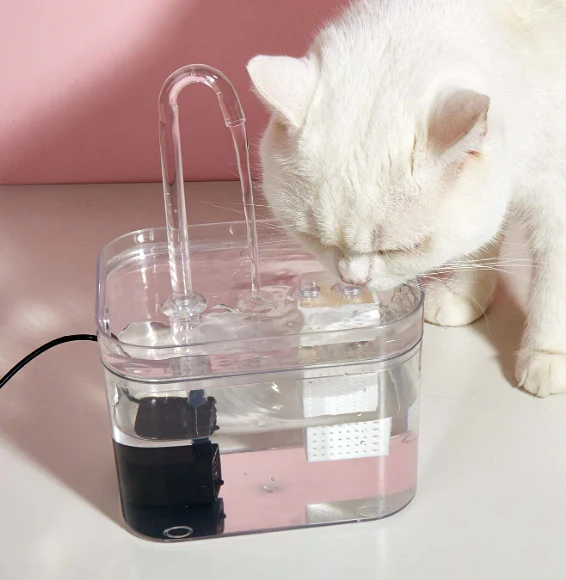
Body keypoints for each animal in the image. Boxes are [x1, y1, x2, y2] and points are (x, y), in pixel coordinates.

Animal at [247, 0, 566, 397]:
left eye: (399, 250)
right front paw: (465, 296)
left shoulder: (556, 198)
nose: (353, 281)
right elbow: (477, 246)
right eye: (313, 238)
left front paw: (547, 355)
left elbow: (554, 283)